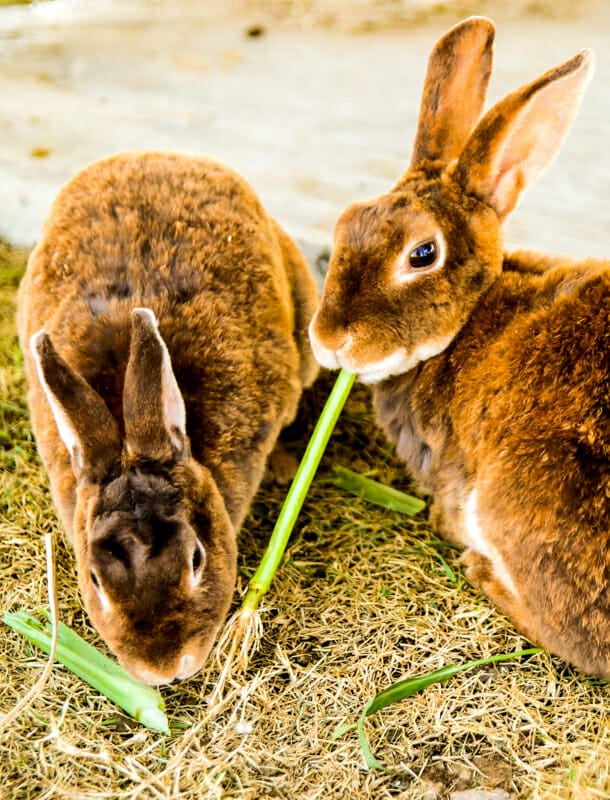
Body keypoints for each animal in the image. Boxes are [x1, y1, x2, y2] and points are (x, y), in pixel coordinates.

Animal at [308, 18, 608, 680]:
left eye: (422, 254)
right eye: (344, 225)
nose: (329, 339)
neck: (473, 319)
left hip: (520, 494)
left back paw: (481, 570)